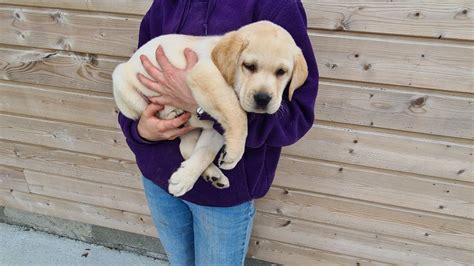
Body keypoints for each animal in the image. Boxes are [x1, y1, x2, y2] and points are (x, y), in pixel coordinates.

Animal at [113, 20, 310, 196]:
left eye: (282, 72)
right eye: (249, 66)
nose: (263, 99)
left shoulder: (216, 129)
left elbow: (206, 151)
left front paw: (185, 178)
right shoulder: (205, 73)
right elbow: (237, 114)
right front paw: (235, 153)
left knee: (186, 147)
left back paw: (213, 174)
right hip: (123, 84)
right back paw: (170, 112)